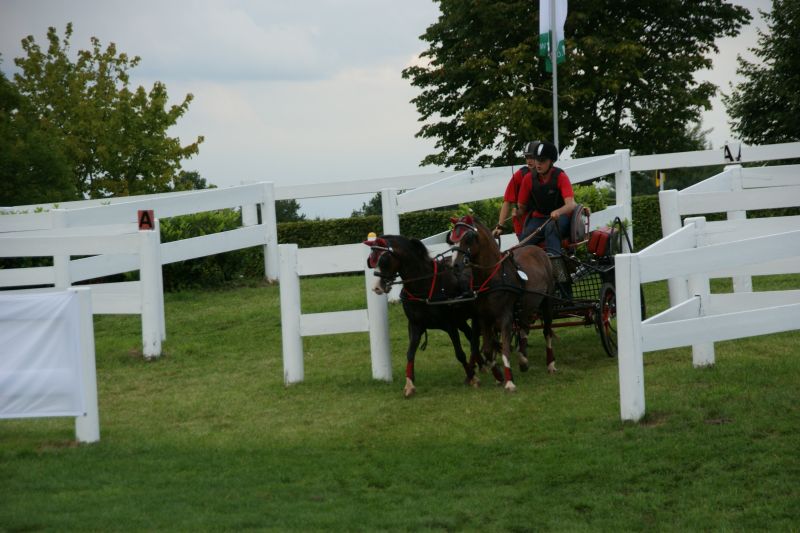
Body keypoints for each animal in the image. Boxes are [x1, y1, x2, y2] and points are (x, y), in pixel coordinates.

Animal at [364, 234, 484, 397]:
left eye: (384, 259)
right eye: (372, 259)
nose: (376, 287)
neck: (425, 286)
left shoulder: (450, 325)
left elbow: (459, 353)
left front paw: (472, 378)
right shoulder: (415, 325)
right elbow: (410, 353)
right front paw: (409, 384)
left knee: (475, 338)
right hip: (461, 320)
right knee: (471, 336)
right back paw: (481, 363)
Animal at [447, 215, 556, 391]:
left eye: (468, 237)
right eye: (451, 238)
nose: (455, 265)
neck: (492, 277)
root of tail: (539, 250)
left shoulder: (505, 317)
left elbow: (504, 348)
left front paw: (509, 381)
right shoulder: (484, 319)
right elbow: (487, 349)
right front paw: (498, 375)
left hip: (547, 302)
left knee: (547, 332)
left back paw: (551, 364)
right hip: (525, 307)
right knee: (524, 329)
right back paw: (523, 360)